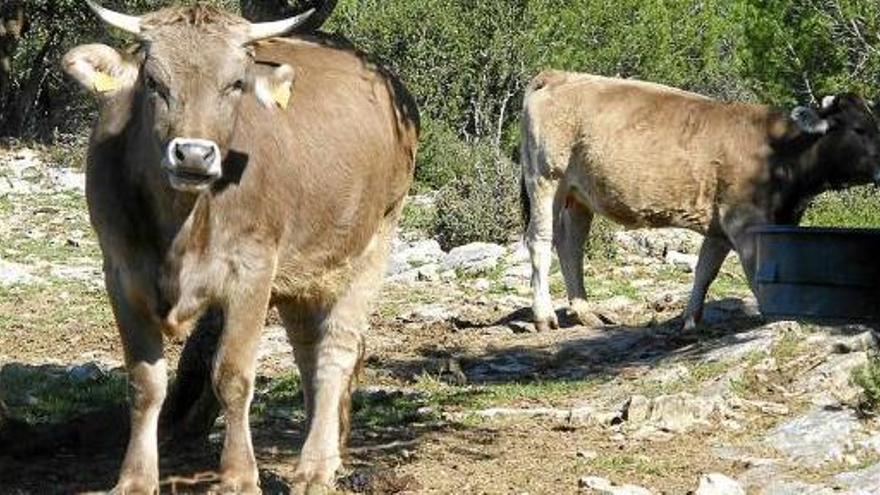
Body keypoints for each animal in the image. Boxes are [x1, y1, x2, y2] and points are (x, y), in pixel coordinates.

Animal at [62, 1, 420, 494]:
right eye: (153, 81)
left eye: (235, 84)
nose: (194, 155)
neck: (180, 226)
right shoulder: (120, 271)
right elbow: (145, 382)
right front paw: (135, 478)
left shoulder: (253, 269)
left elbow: (232, 375)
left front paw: (238, 476)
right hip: (304, 270)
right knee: (307, 350)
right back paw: (324, 451)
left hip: (375, 240)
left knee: (336, 350)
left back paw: (315, 467)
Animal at [524, 70, 880, 334]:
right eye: (859, 129)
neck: (780, 149)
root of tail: (559, 74)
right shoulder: (744, 220)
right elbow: (754, 273)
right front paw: (774, 316)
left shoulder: (721, 224)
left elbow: (705, 270)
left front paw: (690, 320)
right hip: (546, 178)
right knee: (540, 241)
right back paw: (544, 317)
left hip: (578, 195)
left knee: (570, 245)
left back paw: (586, 312)